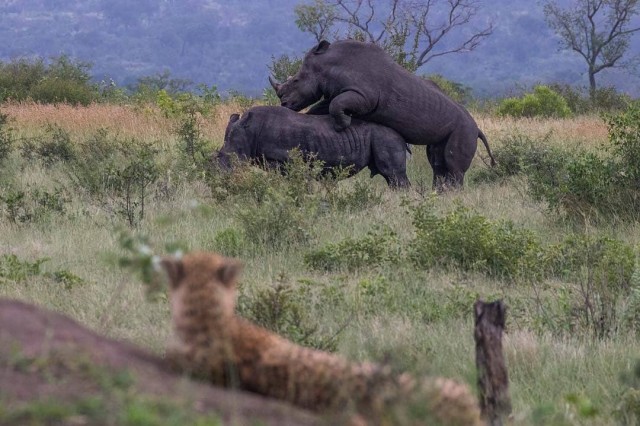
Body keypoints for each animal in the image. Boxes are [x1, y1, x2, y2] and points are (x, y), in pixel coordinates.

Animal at [215, 105, 410, 187]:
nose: (218, 174)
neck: (251, 131)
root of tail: (401, 134)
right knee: (390, 178)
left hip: (386, 137)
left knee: (393, 174)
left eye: (230, 158)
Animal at [268, 40, 496, 190]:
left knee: (453, 164)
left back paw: (452, 194)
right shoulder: (337, 91)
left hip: (465, 128)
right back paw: (439, 193)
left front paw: (342, 125)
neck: (328, 65)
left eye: (296, 81)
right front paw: (316, 118)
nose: (284, 103)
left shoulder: (364, 96)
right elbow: (323, 106)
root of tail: (477, 128)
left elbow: (335, 105)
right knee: (438, 161)